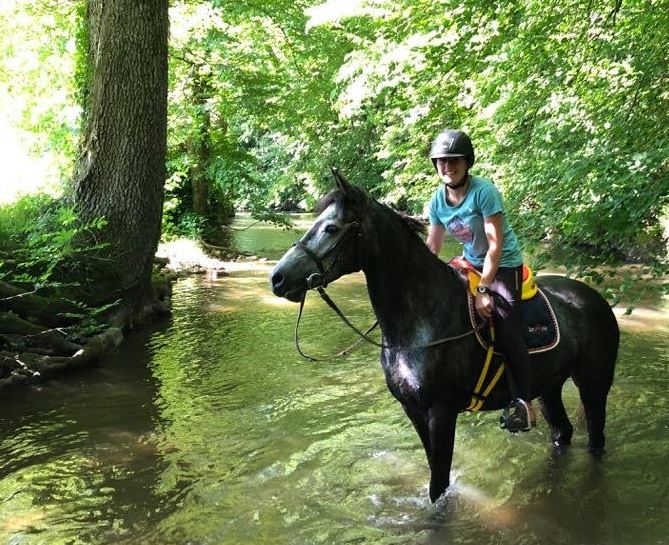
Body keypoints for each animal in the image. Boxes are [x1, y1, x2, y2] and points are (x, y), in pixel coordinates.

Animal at [268, 170, 620, 502]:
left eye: (330, 228)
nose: (278, 278)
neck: (418, 322)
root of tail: (596, 299)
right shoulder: (413, 411)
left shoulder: (442, 411)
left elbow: (437, 485)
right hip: (548, 388)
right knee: (562, 433)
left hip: (593, 385)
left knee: (596, 439)